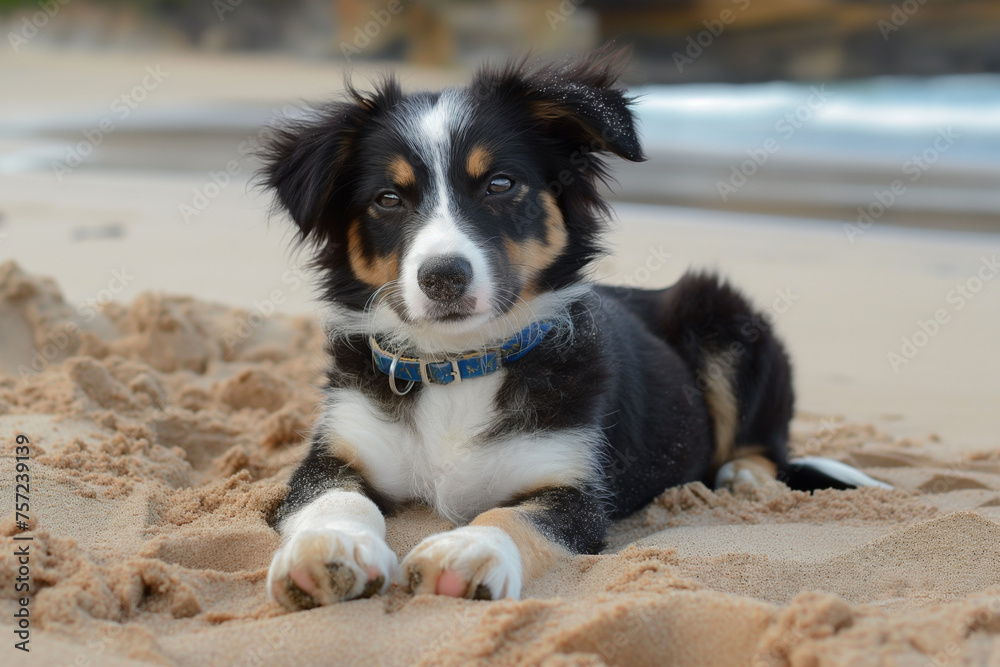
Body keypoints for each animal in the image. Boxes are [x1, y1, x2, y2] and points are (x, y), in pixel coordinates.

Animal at [258, 47, 884, 612]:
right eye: (387, 198)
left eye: (500, 184)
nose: (442, 277)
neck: (460, 363)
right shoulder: (335, 454)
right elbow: (336, 500)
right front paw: (330, 548)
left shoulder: (575, 489)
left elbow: (513, 516)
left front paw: (469, 551)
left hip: (726, 318)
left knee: (763, 446)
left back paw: (745, 481)